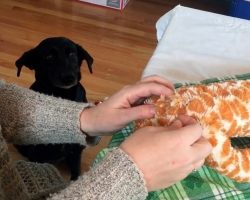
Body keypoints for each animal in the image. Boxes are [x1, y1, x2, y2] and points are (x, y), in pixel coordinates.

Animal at [14, 36, 99, 180]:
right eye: (49, 57)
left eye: (72, 54)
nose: (68, 77)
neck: (61, 95)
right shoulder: (38, 153)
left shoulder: (76, 151)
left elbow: (75, 174)